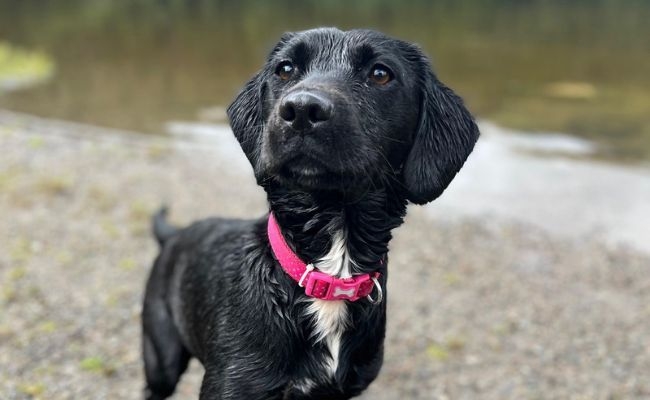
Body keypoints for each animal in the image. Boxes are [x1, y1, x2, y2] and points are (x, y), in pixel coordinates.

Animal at [140, 26, 476, 398]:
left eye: (380, 73)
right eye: (285, 69)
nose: (302, 109)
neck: (329, 274)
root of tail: (174, 235)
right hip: (162, 358)